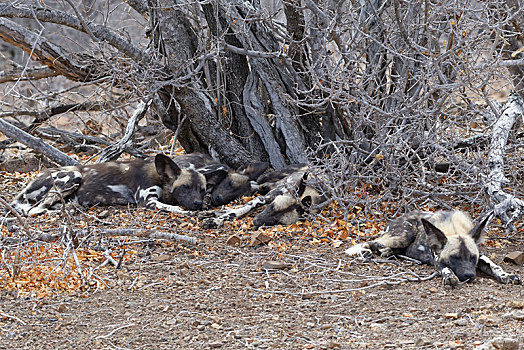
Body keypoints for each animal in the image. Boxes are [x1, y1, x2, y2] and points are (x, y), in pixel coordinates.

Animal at [9, 154, 225, 215]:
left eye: (202, 190)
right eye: (185, 187)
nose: (197, 204)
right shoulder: (147, 202)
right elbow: (172, 207)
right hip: (73, 176)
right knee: (35, 210)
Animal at [344, 211, 520, 288]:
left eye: (472, 258)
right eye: (454, 258)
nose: (469, 275)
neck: (454, 229)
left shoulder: (481, 256)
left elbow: (494, 266)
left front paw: (507, 275)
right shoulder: (437, 259)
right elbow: (446, 268)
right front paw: (450, 277)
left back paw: (387, 253)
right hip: (404, 235)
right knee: (371, 242)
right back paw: (366, 253)